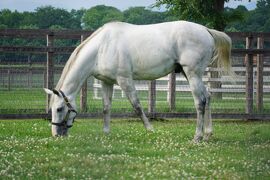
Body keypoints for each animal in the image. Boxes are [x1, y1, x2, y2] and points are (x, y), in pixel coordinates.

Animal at [43, 20, 232, 142]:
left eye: (59, 108)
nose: (56, 134)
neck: (102, 47)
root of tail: (206, 30)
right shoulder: (106, 82)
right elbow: (106, 108)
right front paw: (106, 133)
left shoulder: (124, 79)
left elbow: (137, 106)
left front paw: (150, 130)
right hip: (192, 74)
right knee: (208, 97)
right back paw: (207, 134)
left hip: (192, 74)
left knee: (200, 102)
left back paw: (197, 137)